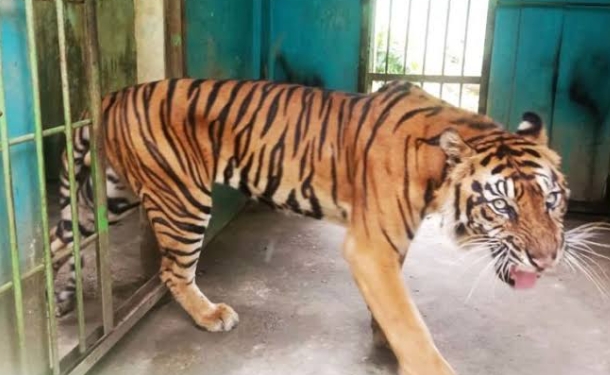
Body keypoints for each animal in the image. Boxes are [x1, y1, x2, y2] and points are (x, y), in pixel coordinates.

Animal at [48, 77, 568, 375]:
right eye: (503, 207)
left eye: (553, 200)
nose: (547, 259)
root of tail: (111, 94)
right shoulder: (371, 245)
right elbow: (410, 321)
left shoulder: (387, 243)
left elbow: (391, 305)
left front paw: (381, 337)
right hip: (182, 198)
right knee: (172, 270)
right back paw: (210, 315)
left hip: (108, 195)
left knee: (59, 241)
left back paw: (59, 307)